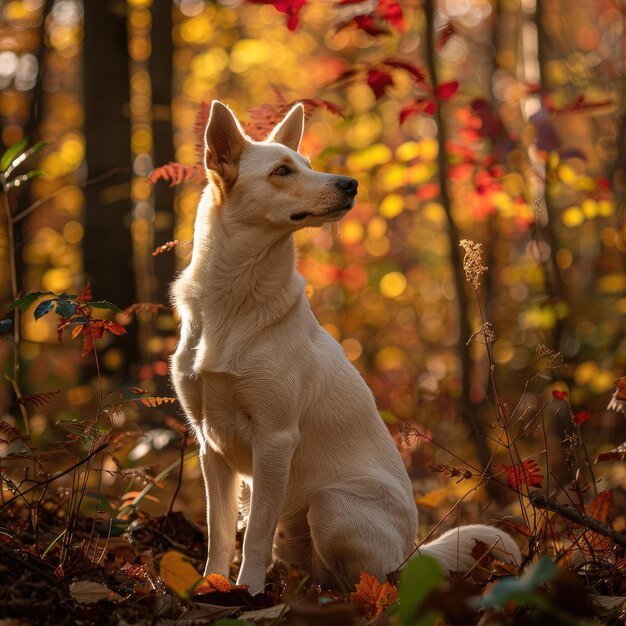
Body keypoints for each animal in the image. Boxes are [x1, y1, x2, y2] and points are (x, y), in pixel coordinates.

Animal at [168, 100, 520, 592]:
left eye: (308, 164)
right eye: (282, 171)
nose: (350, 183)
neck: (233, 300)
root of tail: (412, 553)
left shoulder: (275, 440)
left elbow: (253, 534)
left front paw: (248, 591)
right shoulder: (210, 445)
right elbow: (218, 533)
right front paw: (213, 587)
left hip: (331, 506)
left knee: (372, 579)